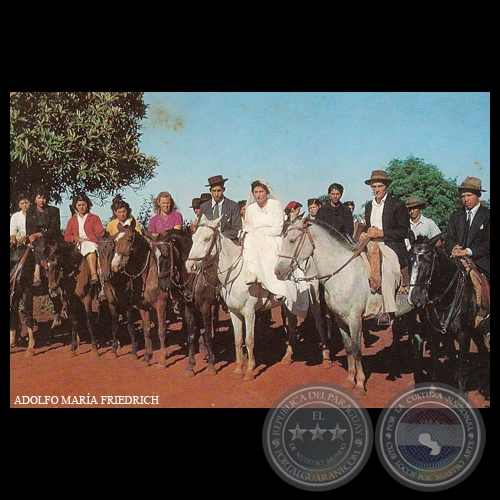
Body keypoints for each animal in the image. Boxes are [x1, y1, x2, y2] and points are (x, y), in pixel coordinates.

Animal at [186, 213, 334, 380]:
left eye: (207, 239)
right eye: (193, 238)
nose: (189, 266)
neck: (237, 275)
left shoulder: (249, 312)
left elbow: (249, 340)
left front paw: (250, 370)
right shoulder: (234, 312)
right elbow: (238, 340)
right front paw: (239, 369)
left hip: (314, 301)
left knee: (320, 323)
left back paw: (326, 358)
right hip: (288, 304)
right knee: (292, 323)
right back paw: (287, 356)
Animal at [276, 217, 412, 396]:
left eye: (292, 240)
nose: (277, 271)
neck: (343, 274)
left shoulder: (355, 319)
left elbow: (357, 350)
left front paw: (360, 384)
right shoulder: (340, 319)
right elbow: (348, 348)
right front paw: (350, 380)